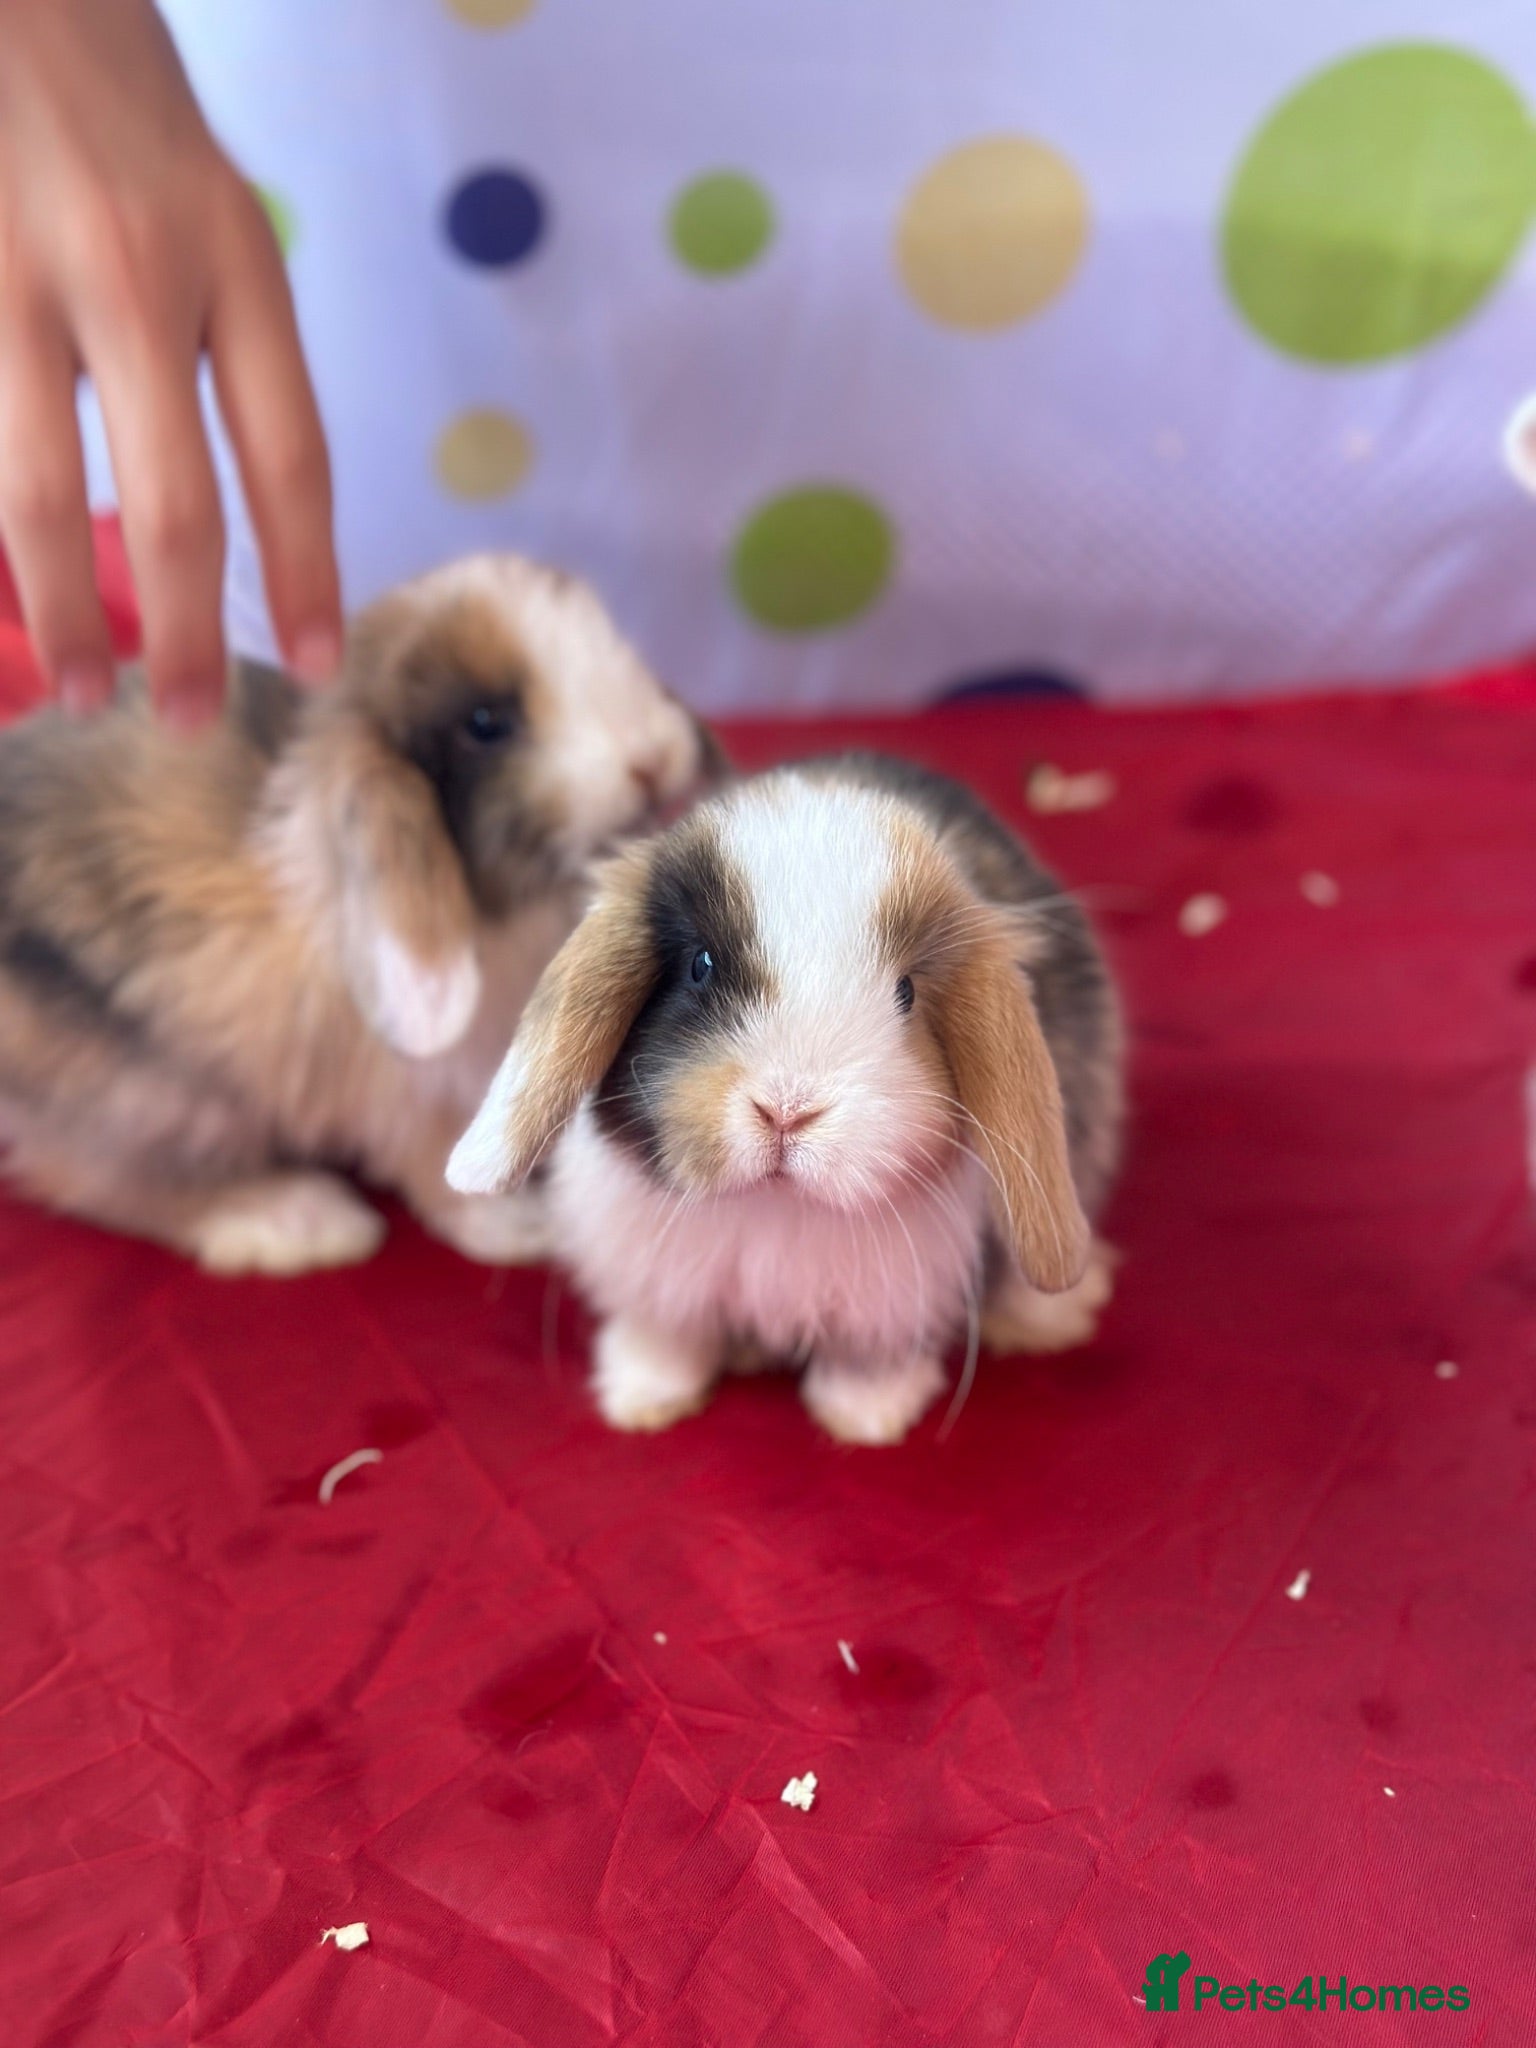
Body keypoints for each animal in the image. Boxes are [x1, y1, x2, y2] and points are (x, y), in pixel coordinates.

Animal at [0, 552, 717, 1275]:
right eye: (486, 723)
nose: (655, 759)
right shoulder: (406, 1093)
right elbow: (439, 1164)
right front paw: (523, 1226)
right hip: (160, 1099)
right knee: (100, 1178)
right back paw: (300, 1219)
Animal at [447, 751, 1123, 1444]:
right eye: (701, 965)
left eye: (906, 992)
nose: (788, 1110)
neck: (774, 1204)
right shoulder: (657, 1278)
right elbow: (666, 1338)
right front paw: (640, 1400)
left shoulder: (888, 1304)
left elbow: (869, 1358)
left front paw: (864, 1418)